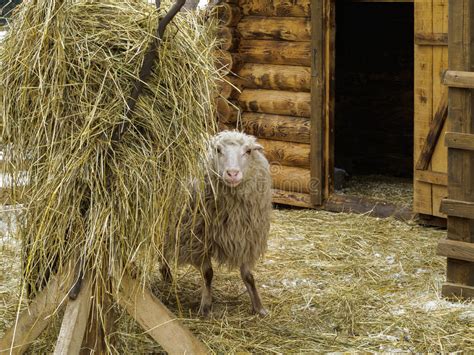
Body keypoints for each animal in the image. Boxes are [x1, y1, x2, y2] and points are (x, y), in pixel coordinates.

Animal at [162, 130, 272, 318]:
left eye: (248, 151)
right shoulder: (199, 239)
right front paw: (206, 306)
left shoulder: (246, 237)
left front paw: (259, 307)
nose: (232, 173)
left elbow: (248, 276)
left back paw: (166, 275)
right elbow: (208, 274)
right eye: (218, 150)